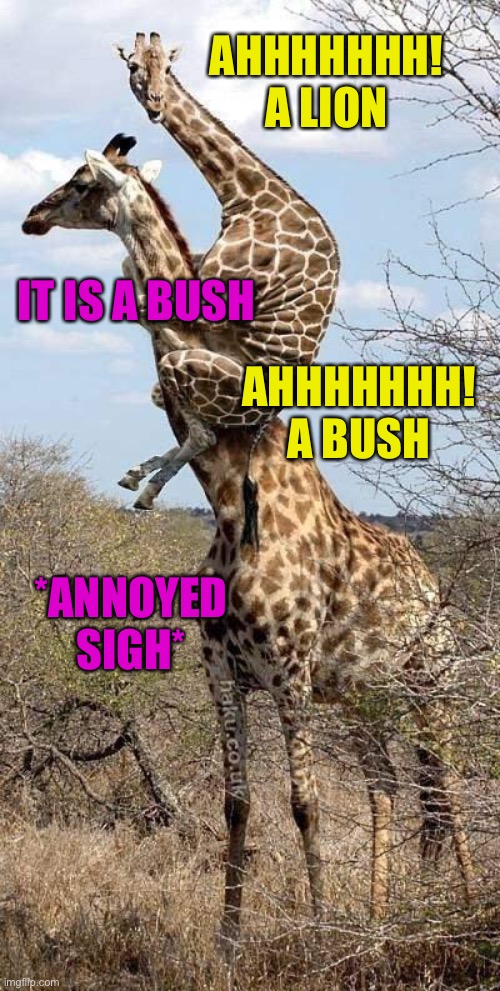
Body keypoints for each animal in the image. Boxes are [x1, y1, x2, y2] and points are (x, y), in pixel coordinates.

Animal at [22, 141, 473, 945]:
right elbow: (238, 804)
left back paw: (462, 907)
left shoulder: (289, 674)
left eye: (80, 182)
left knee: (446, 793)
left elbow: (305, 804)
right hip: (363, 700)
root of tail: (433, 594)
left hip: (434, 690)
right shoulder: (223, 674)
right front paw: (229, 938)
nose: (31, 217)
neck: (231, 507)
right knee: (394, 790)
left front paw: (321, 934)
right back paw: (386, 919)